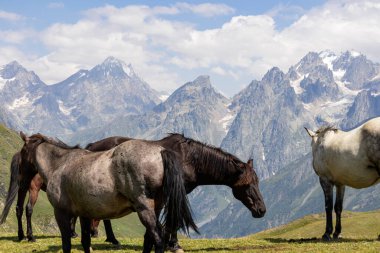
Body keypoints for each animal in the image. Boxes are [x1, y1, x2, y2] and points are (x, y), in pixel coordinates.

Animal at [17, 132, 196, 253]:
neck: (60, 164)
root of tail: (160, 152)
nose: (20, 179)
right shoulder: (84, 214)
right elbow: (85, 241)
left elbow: (66, 244)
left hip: (145, 209)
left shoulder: (61, 213)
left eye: (22, 152)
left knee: (158, 239)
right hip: (156, 208)